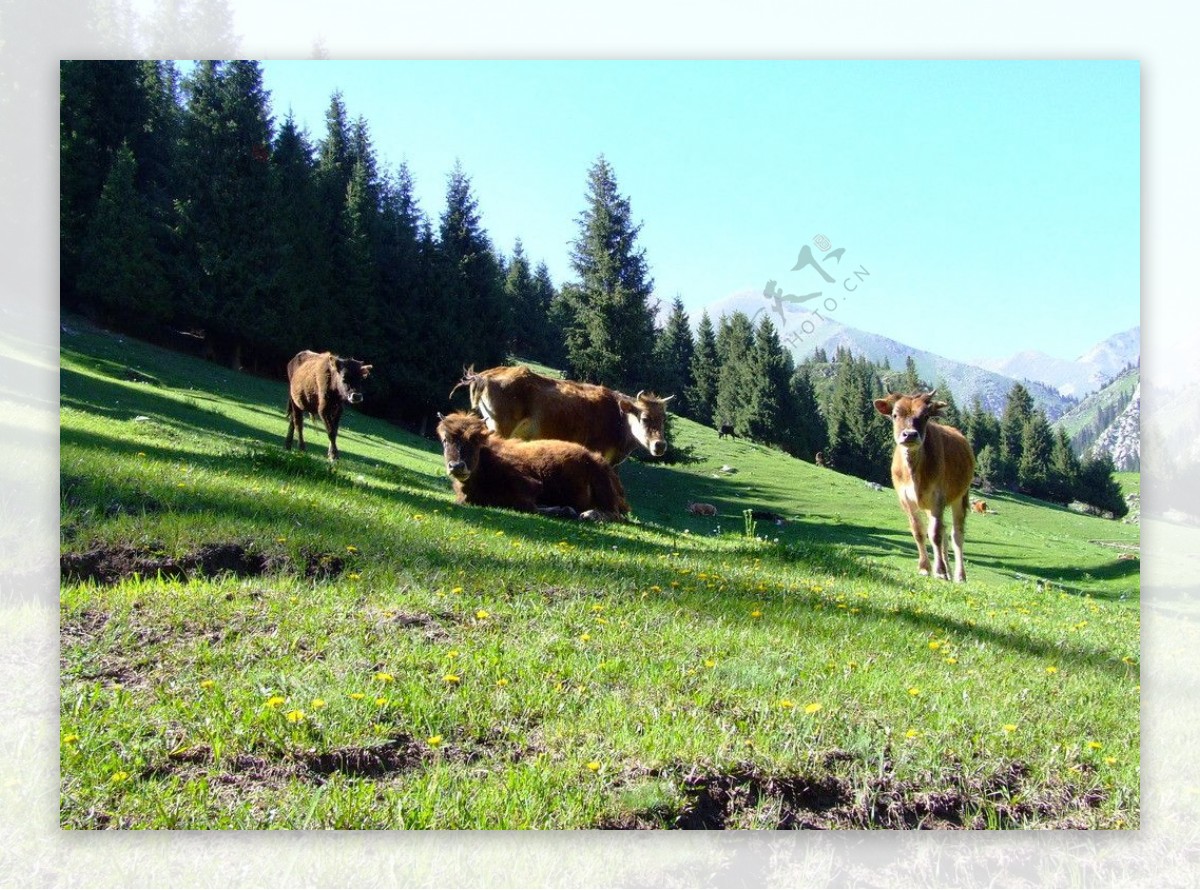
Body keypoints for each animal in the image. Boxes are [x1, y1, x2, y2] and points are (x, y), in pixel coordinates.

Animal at [436, 417, 633, 525]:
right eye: (445, 440)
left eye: (475, 440)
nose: (457, 466)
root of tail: (598, 460)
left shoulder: (529, 487)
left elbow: (529, 506)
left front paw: (566, 510)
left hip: (604, 488)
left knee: (615, 514)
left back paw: (589, 514)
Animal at [878, 391, 979, 585]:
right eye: (895, 415)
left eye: (925, 416)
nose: (910, 434)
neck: (914, 472)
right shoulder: (906, 499)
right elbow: (919, 532)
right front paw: (925, 568)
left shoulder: (937, 498)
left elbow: (935, 534)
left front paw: (939, 571)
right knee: (945, 532)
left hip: (960, 496)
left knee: (956, 535)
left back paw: (959, 575)